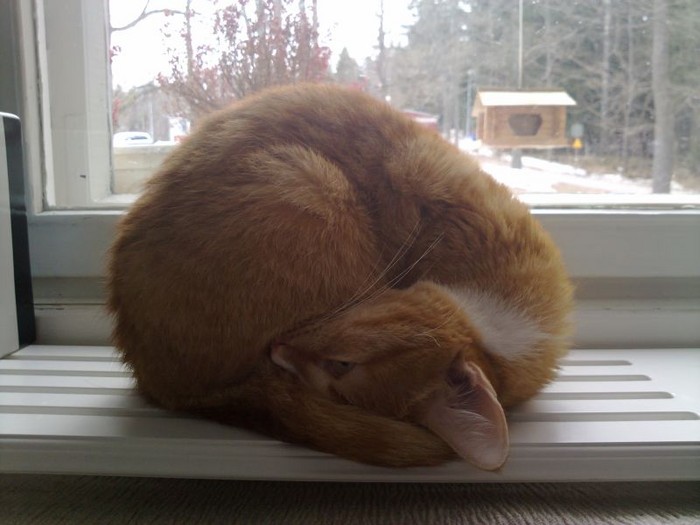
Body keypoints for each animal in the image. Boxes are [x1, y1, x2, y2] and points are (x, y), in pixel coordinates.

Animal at [107, 83, 574, 471]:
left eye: (341, 367)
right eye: (347, 349)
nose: (283, 346)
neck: (497, 328)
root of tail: (162, 384)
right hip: (305, 181)